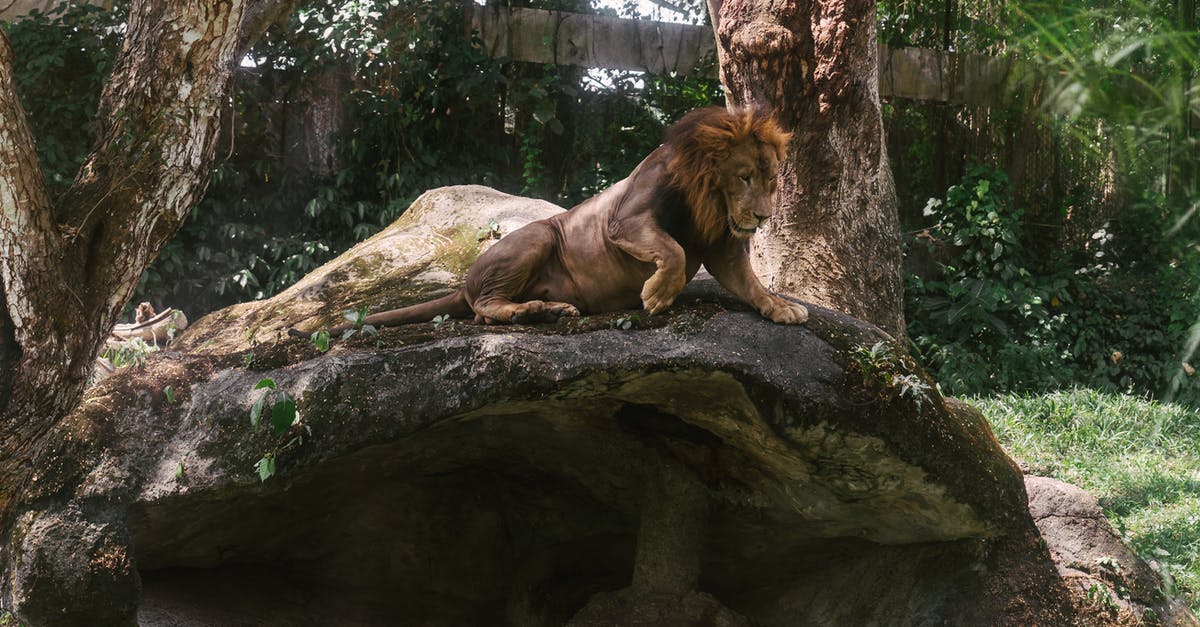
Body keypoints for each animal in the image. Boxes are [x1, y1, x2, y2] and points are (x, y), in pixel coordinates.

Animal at [298, 106, 808, 336]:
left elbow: (750, 283)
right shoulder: (624, 220)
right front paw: (658, 295)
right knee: (485, 307)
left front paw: (781, 307)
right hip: (539, 236)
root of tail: (464, 282)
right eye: (744, 177)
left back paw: (550, 309)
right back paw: (532, 311)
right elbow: (673, 250)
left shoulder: (722, 245)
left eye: (771, 182)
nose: (762, 216)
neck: (709, 200)